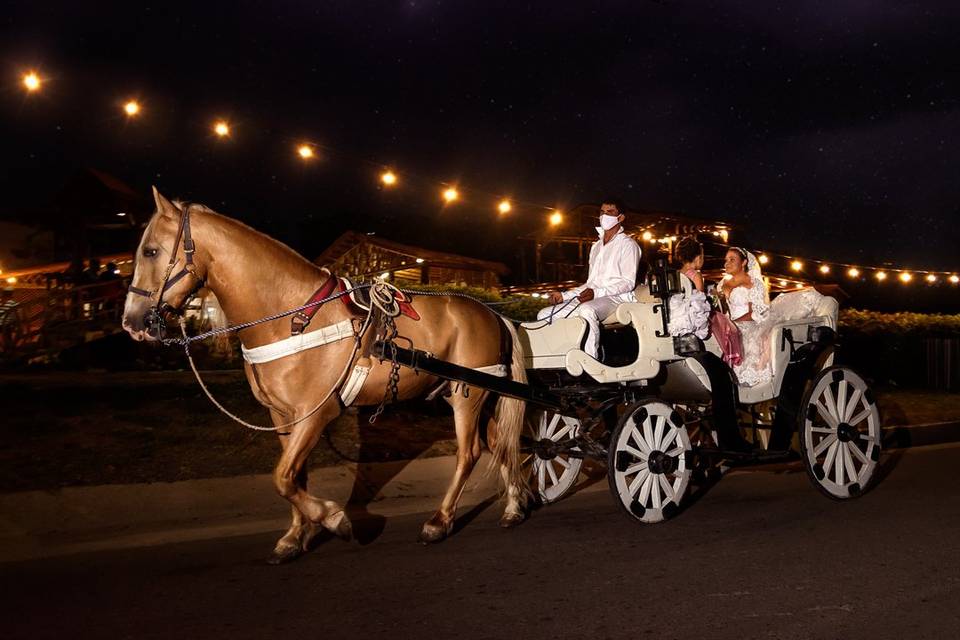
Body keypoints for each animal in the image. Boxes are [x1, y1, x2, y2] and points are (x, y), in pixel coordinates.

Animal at [123, 188, 528, 564]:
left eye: (151, 252)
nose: (132, 322)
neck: (292, 315)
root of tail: (493, 314)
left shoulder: (317, 412)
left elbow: (282, 477)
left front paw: (333, 518)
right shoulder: (283, 416)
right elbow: (294, 476)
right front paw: (294, 537)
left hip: (466, 395)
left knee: (470, 453)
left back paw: (439, 521)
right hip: (484, 396)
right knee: (502, 443)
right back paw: (514, 507)